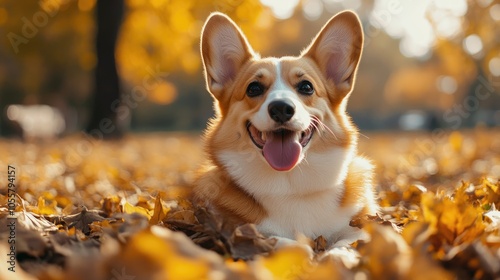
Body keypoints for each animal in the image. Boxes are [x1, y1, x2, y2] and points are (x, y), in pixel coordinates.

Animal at [195, 11, 378, 249]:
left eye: (306, 87)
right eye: (254, 88)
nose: (281, 108)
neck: (291, 187)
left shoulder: (360, 227)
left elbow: (346, 243)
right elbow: (289, 244)